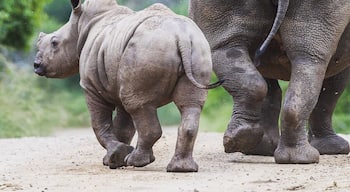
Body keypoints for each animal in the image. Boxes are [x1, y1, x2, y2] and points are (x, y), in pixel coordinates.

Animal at [33, 0, 219, 172]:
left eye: (54, 42)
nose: (36, 65)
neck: (80, 26)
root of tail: (182, 37)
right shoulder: (120, 82)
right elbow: (123, 126)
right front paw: (114, 159)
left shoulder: (91, 87)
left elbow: (100, 123)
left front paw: (115, 157)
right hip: (198, 50)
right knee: (189, 104)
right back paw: (181, 168)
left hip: (145, 51)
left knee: (138, 105)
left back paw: (136, 162)